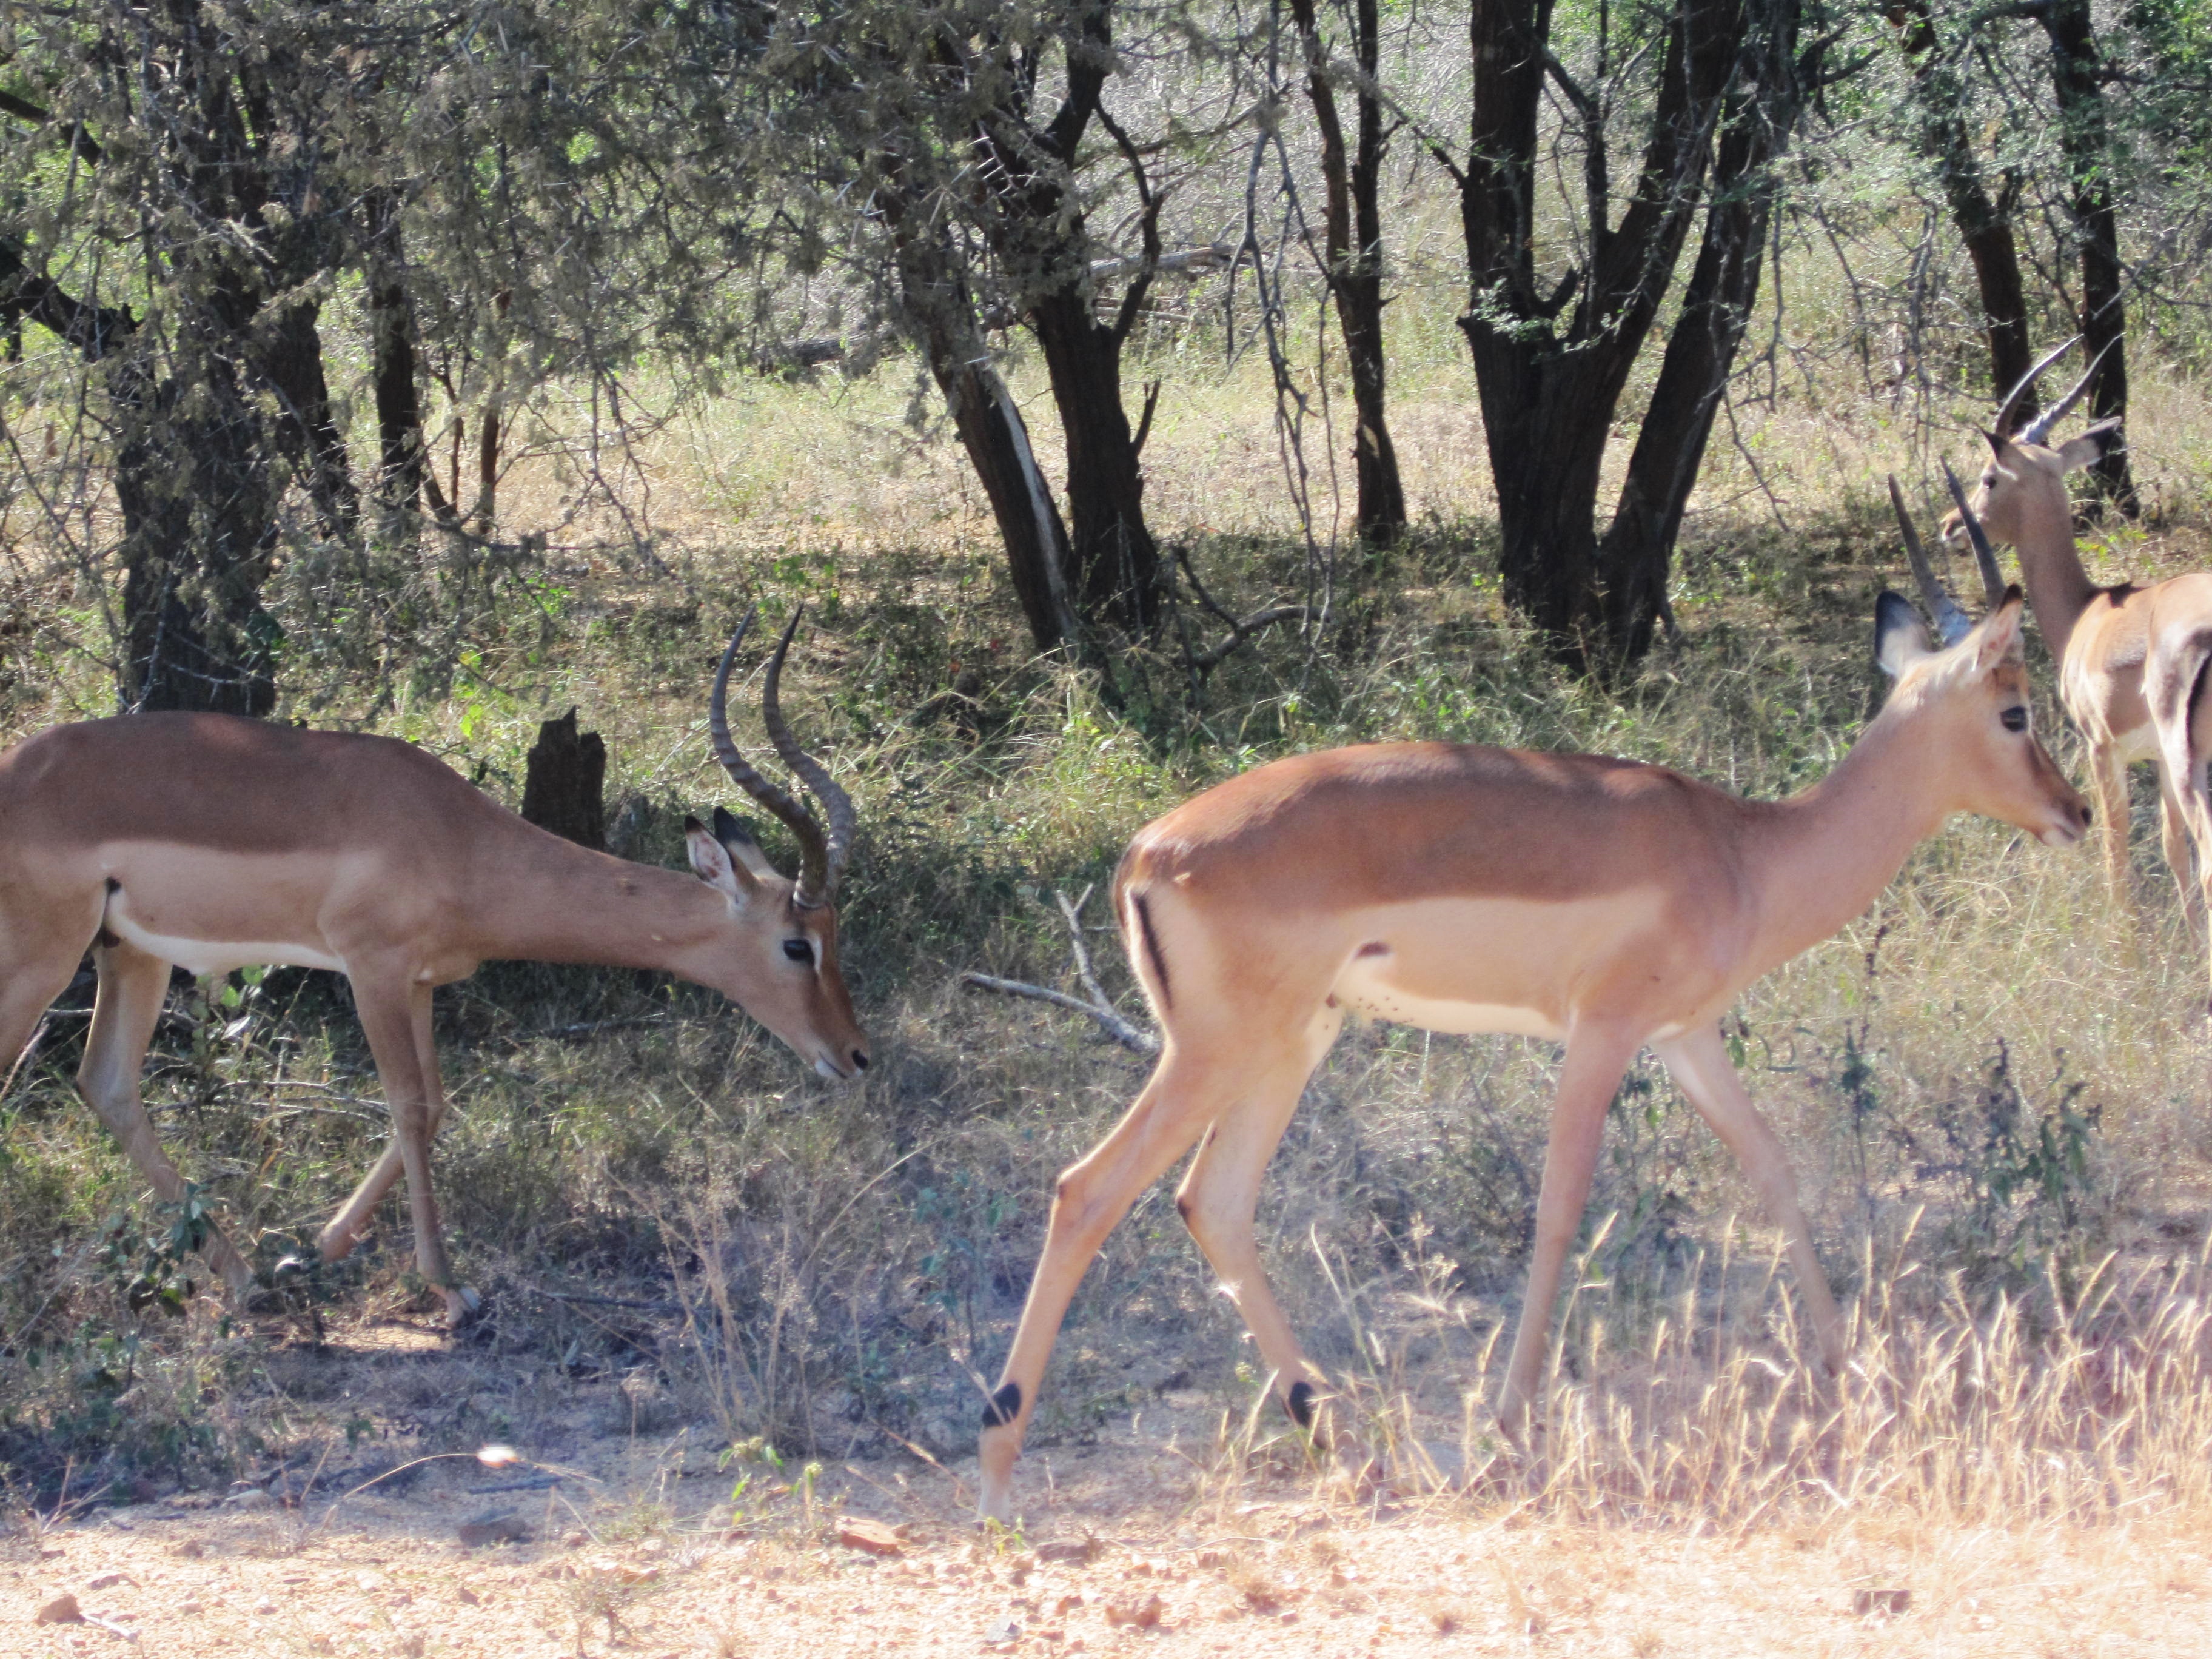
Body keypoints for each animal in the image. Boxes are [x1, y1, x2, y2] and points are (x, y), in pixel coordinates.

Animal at [0, 611, 865, 1325]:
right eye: (797, 943)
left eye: (834, 931)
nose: (855, 1056)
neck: (458, 840)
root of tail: (16, 774)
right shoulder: (372, 971)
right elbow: (411, 1108)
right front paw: (450, 1289)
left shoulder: (418, 983)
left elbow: (437, 1104)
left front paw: (305, 1256)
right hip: (39, 959)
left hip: (133, 953)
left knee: (107, 1084)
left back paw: (247, 1283)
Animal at [972, 496, 2090, 1523]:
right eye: (2016, 711)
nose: (2074, 811)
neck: (1746, 853)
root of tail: (1145, 853)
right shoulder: (1602, 1035)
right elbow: (1558, 1211)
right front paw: (1510, 1423)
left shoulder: (1685, 1039)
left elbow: (1772, 1170)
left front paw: (1845, 1377)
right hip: (1217, 1051)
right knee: (1087, 1190)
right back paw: (999, 1472)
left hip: (1289, 1045)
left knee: (1213, 1201)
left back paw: (1340, 1439)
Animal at [1941, 340, 2212, 987]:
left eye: (1989, 476)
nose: (1948, 527)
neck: (2088, 615)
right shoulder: (2155, 759)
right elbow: (2172, 853)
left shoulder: (2102, 748)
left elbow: (2117, 852)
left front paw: (2126, 957)